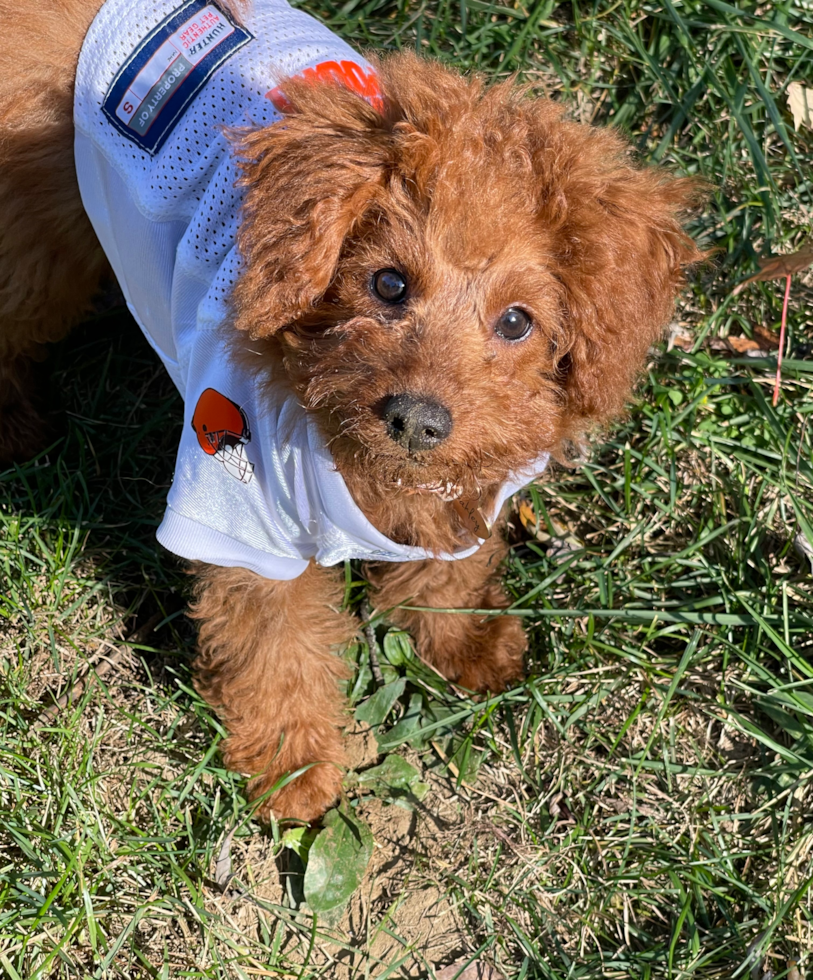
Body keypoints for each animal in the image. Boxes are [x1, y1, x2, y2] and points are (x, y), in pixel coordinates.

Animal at [0, 1, 696, 828]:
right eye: (388, 283)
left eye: (516, 322)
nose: (417, 420)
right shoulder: (244, 516)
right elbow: (273, 647)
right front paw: (293, 765)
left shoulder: (461, 487)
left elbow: (444, 568)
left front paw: (459, 640)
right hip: (39, 251)